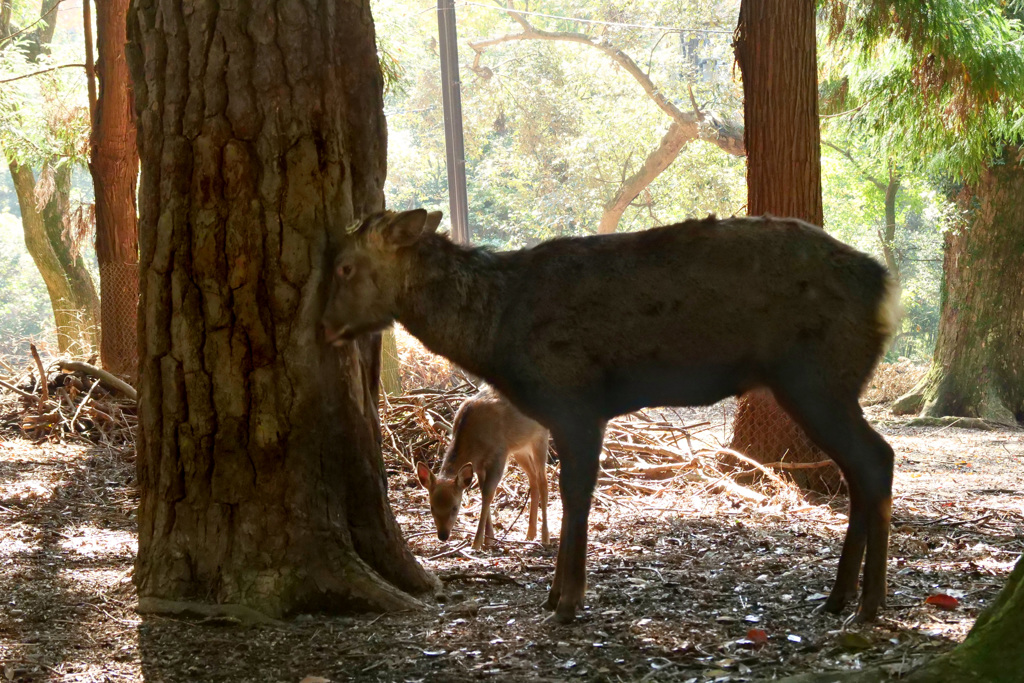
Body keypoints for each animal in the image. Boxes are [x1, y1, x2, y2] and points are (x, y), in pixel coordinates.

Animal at [323, 208, 901, 626]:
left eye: (344, 266)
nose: (324, 326)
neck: (496, 334)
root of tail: (885, 288)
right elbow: (563, 492)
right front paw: (554, 594)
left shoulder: (577, 402)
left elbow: (577, 496)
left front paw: (567, 601)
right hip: (821, 385)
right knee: (863, 467)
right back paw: (839, 598)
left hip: (817, 378)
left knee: (877, 458)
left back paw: (868, 604)